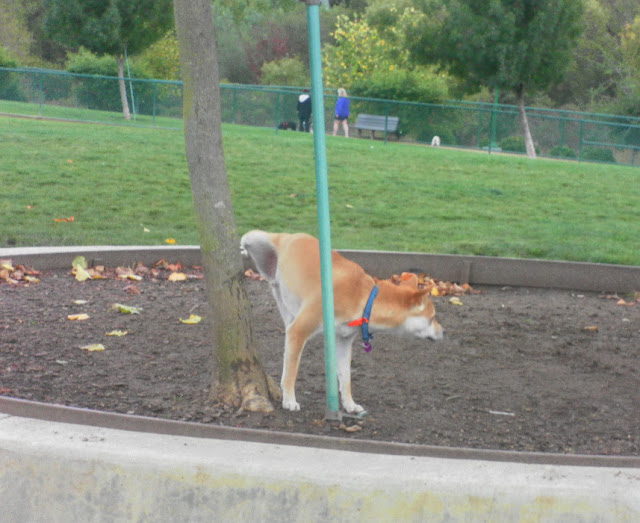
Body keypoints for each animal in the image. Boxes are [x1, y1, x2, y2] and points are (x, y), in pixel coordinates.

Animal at [240, 231, 444, 413]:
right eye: (433, 317)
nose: (444, 331)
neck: (364, 299)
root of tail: (292, 236)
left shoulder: (343, 342)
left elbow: (346, 379)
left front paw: (350, 404)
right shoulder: (299, 331)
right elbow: (291, 372)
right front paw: (289, 400)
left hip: (281, 296)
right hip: (260, 239)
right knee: (248, 236)